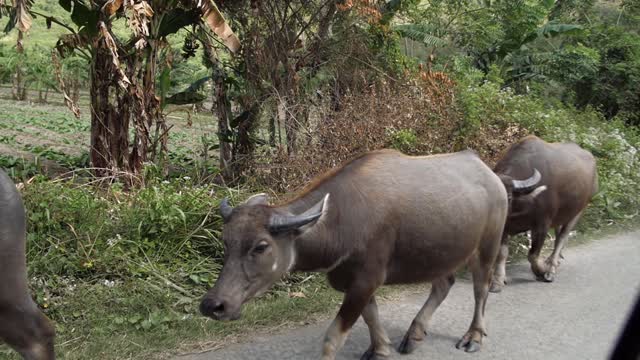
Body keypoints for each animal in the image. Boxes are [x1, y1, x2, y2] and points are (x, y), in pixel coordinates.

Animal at [199, 149, 536, 360]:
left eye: (261, 246)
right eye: (226, 241)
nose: (213, 305)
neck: (340, 220)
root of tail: (492, 178)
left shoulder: (365, 279)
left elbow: (333, 338)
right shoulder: (358, 282)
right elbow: (371, 316)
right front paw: (381, 349)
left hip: (487, 245)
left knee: (480, 290)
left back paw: (473, 337)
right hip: (441, 252)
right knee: (444, 284)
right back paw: (414, 334)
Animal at [490, 135, 600, 292]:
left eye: (508, 197)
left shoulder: (542, 224)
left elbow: (533, 255)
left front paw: (541, 271)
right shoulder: (505, 227)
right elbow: (502, 253)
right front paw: (498, 280)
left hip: (578, 210)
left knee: (562, 237)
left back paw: (551, 268)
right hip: (562, 214)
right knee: (559, 235)